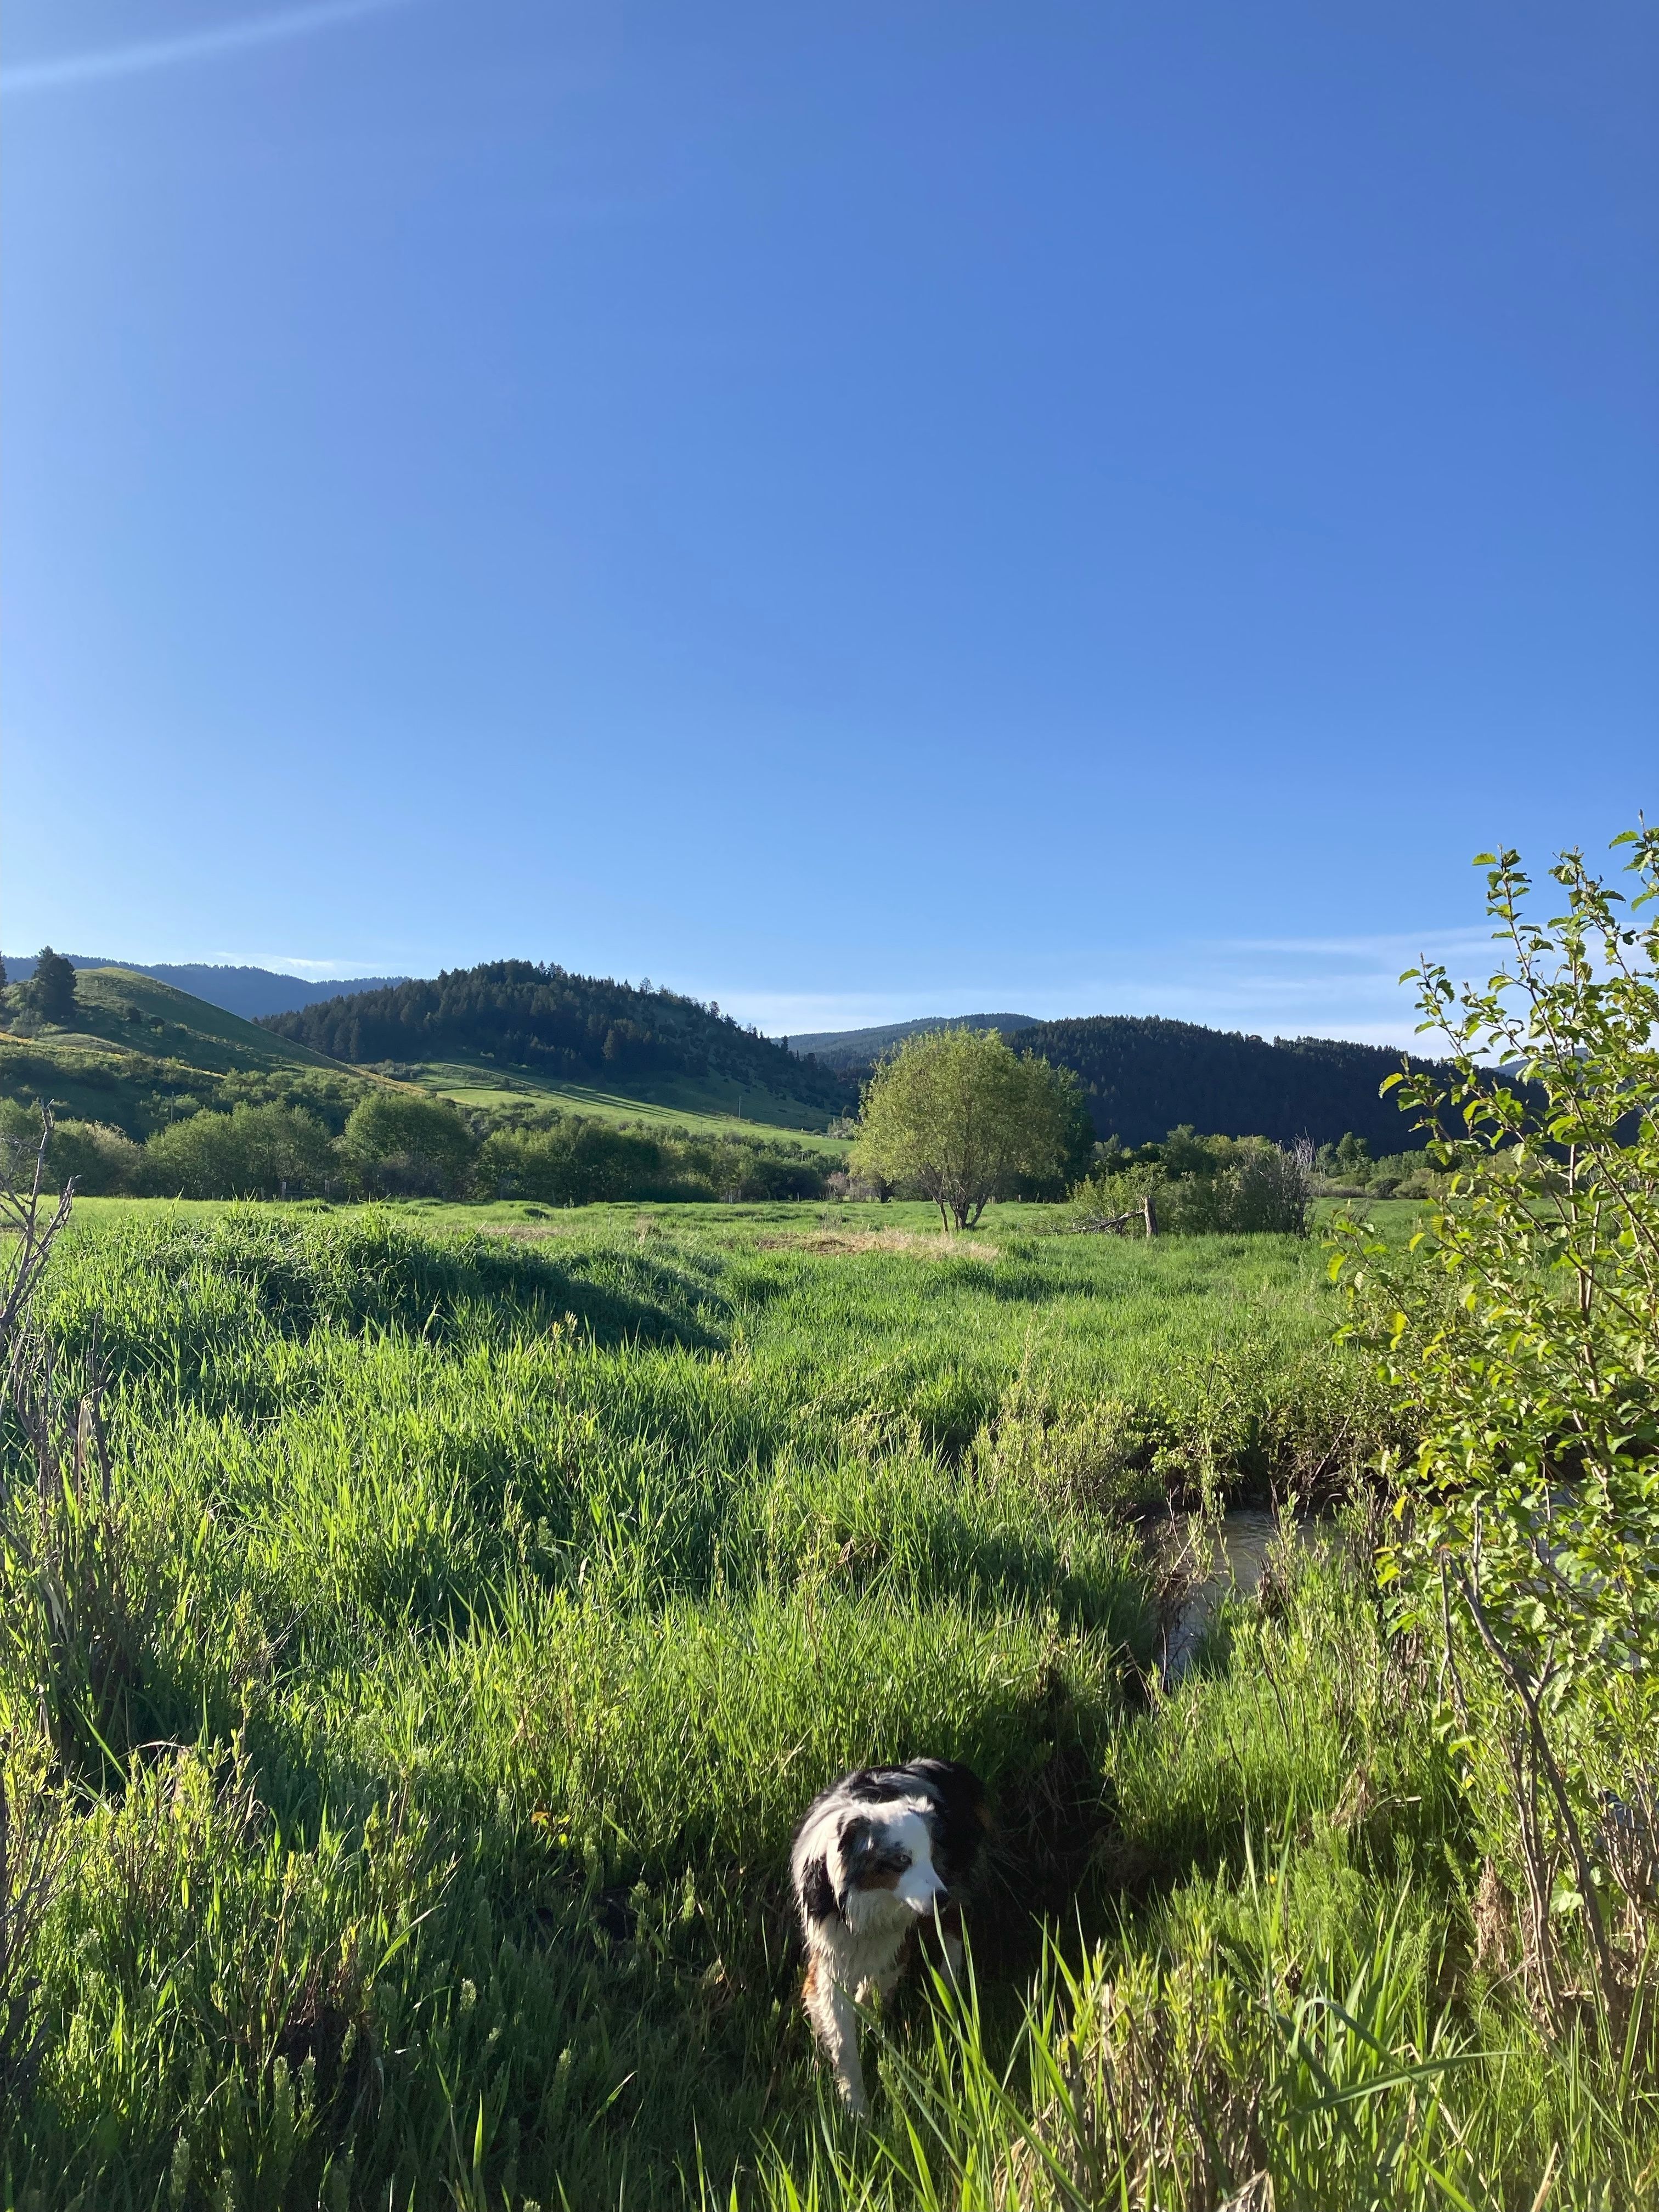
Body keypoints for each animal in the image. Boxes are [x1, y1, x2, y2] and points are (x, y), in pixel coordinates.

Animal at [787, 1760, 986, 2106]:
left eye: (929, 1856)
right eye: (902, 1860)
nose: (941, 1897)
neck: (867, 1906)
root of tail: (939, 1765)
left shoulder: (895, 1944)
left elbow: (872, 1996)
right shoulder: (830, 1959)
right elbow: (843, 2037)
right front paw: (856, 2106)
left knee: (952, 1938)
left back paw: (949, 1996)